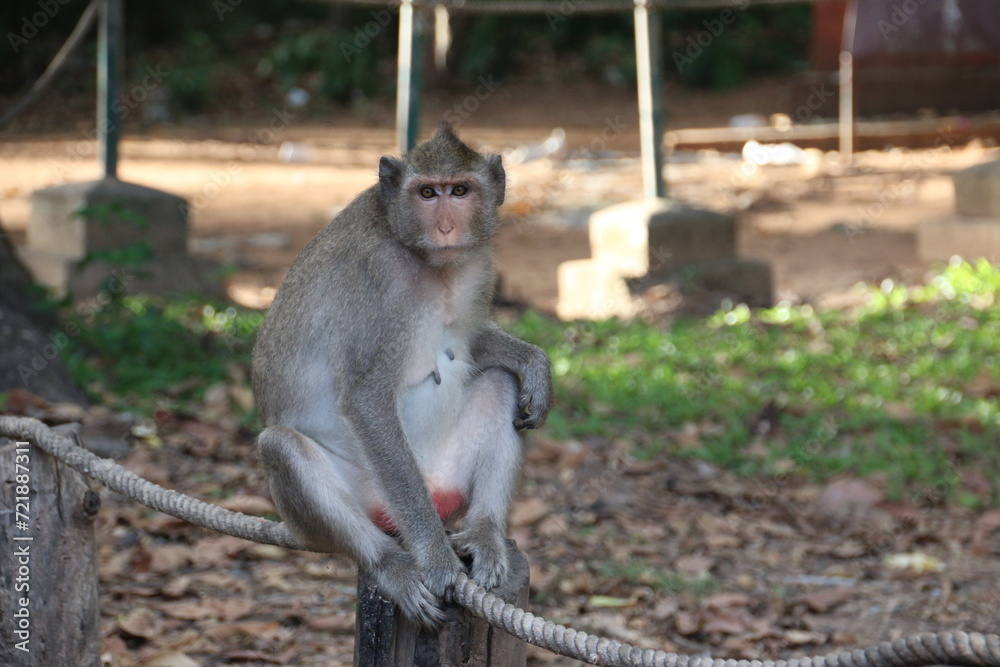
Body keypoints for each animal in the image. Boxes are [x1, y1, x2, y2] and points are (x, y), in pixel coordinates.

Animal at [251, 123, 552, 628]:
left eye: (459, 191)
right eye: (427, 193)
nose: (446, 227)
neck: (427, 260)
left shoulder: (479, 265)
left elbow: (473, 345)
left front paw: (534, 364)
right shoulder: (375, 285)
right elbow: (366, 399)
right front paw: (436, 561)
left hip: (448, 477)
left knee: (497, 382)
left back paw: (484, 532)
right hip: (372, 498)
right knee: (282, 447)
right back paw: (391, 564)